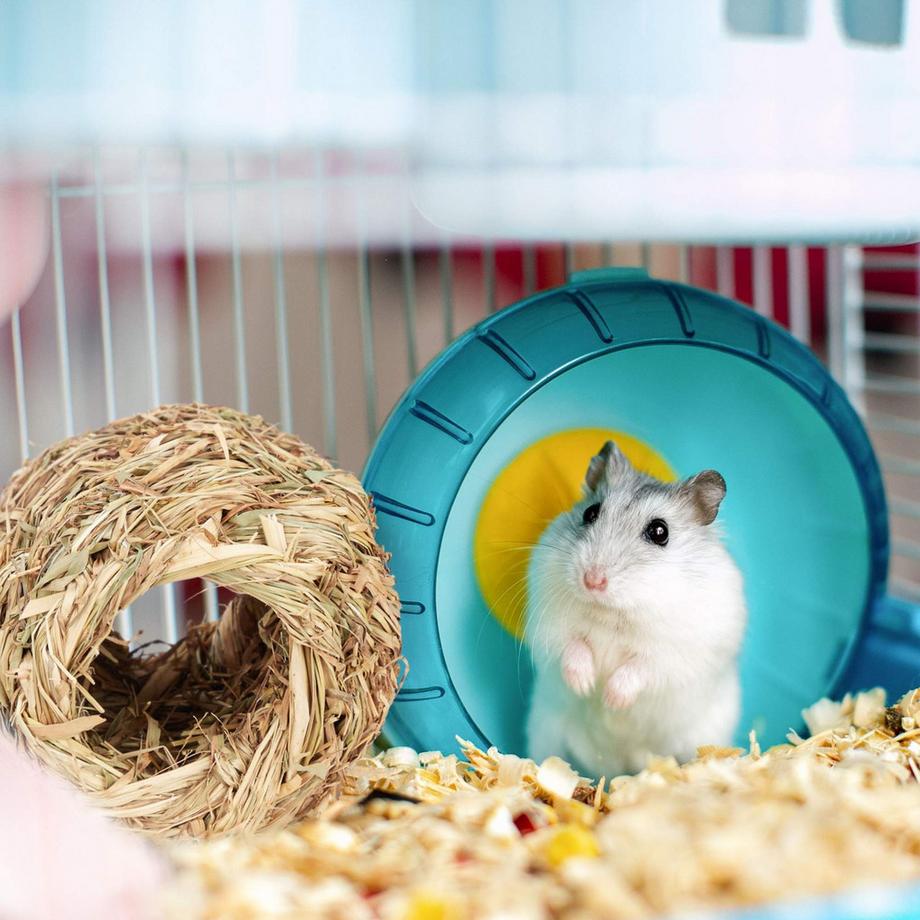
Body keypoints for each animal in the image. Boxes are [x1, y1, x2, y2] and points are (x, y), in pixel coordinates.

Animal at [524, 440, 746, 778]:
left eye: (659, 531)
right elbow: (572, 646)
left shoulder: (678, 654)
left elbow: (642, 667)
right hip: (544, 730)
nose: (592, 580)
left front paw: (611, 699)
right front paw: (585, 685)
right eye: (590, 512)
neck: (614, 613)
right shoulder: (550, 625)